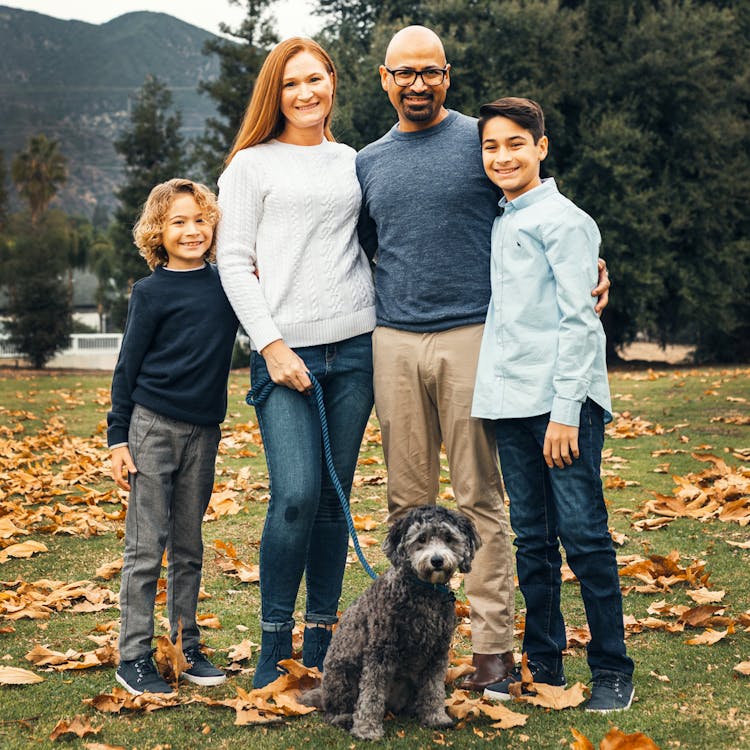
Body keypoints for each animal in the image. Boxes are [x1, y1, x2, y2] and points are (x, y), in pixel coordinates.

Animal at [304, 506, 484, 740]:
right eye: (421, 539)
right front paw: (367, 730)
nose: (437, 560)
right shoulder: (380, 652)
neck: (424, 593)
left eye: (448, 538)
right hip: (342, 675)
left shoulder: (438, 653)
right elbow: (371, 694)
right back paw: (344, 718)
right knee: (334, 710)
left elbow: (434, 689)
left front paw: (436, 717)